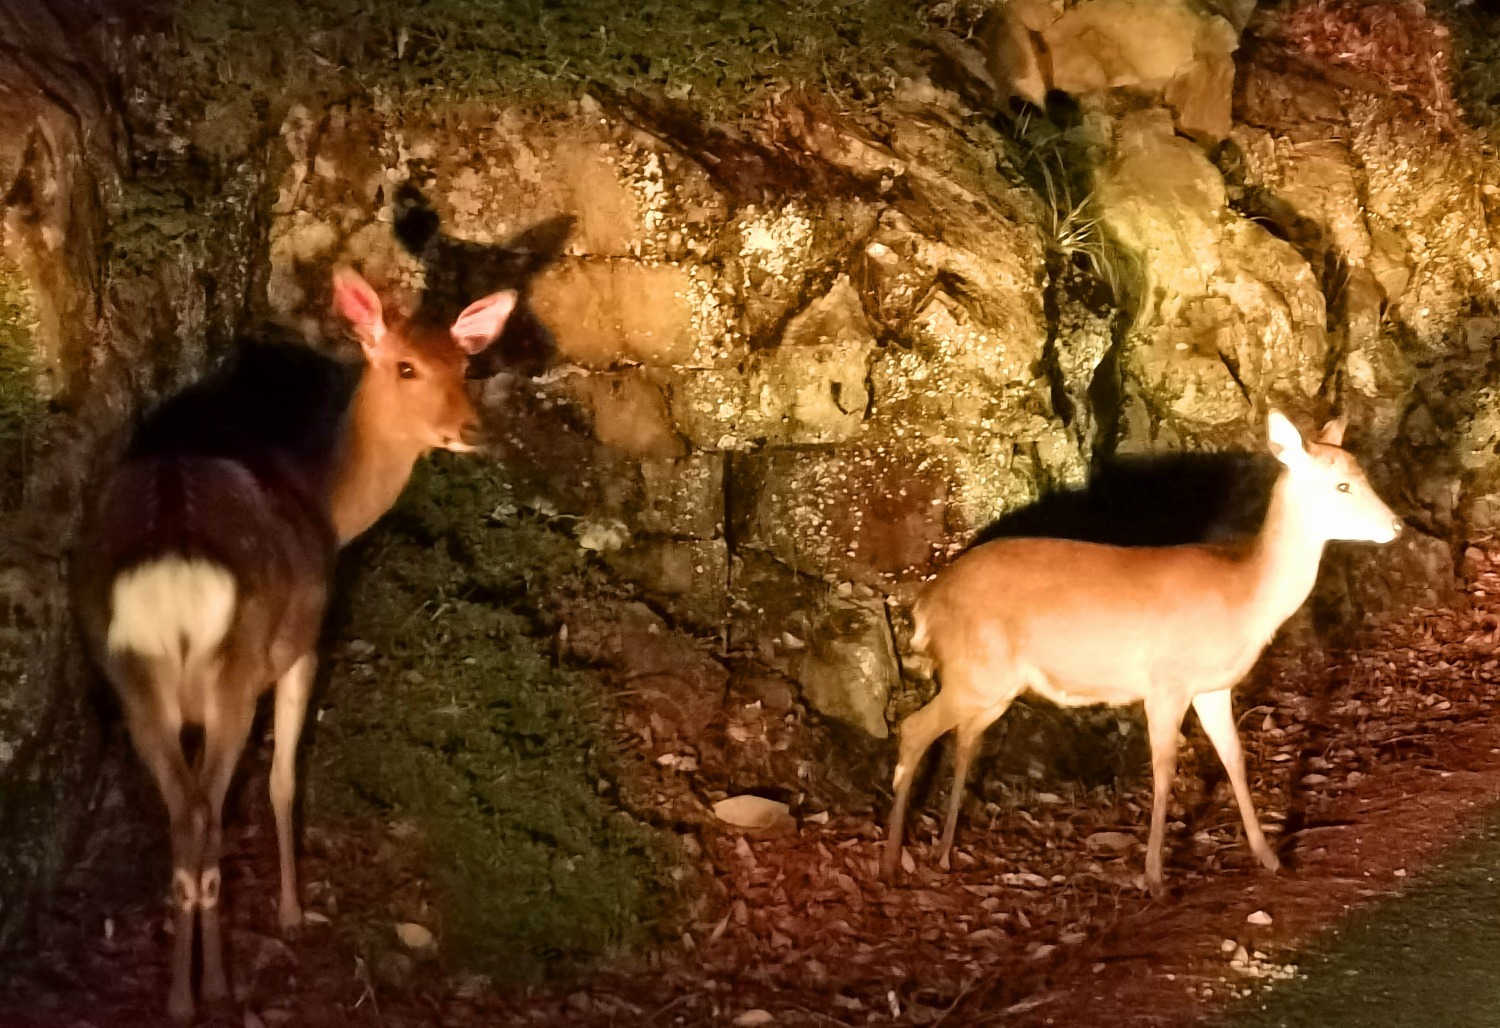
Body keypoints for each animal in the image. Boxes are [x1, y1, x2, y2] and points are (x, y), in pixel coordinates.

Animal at [73, 264, 519, 1020]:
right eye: (405, 366)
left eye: (465, 365)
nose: (472, 429)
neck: (330, 506)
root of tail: (170, 566)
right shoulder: (304, 645)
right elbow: (283, 781)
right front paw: (290, 911)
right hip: (233, 670)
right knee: (204, 811)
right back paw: (214, 987)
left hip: (130, 674)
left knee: (180, 815)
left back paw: (178, 997)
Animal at [876, 408, 1404, 888]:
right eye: (1342, 486)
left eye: (1362, 474)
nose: (1397, 526)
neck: (1242, 596)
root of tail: (925, 605)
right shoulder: (1166, 682)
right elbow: (1165, 770)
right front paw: (1153, 877)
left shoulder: (1211, 688)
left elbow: (1234, 759)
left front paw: (1269, 856)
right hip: (976, 673)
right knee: (914, 728)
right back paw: (892, 861)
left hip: (992, 685)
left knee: (962, 737)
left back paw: (943, 851)